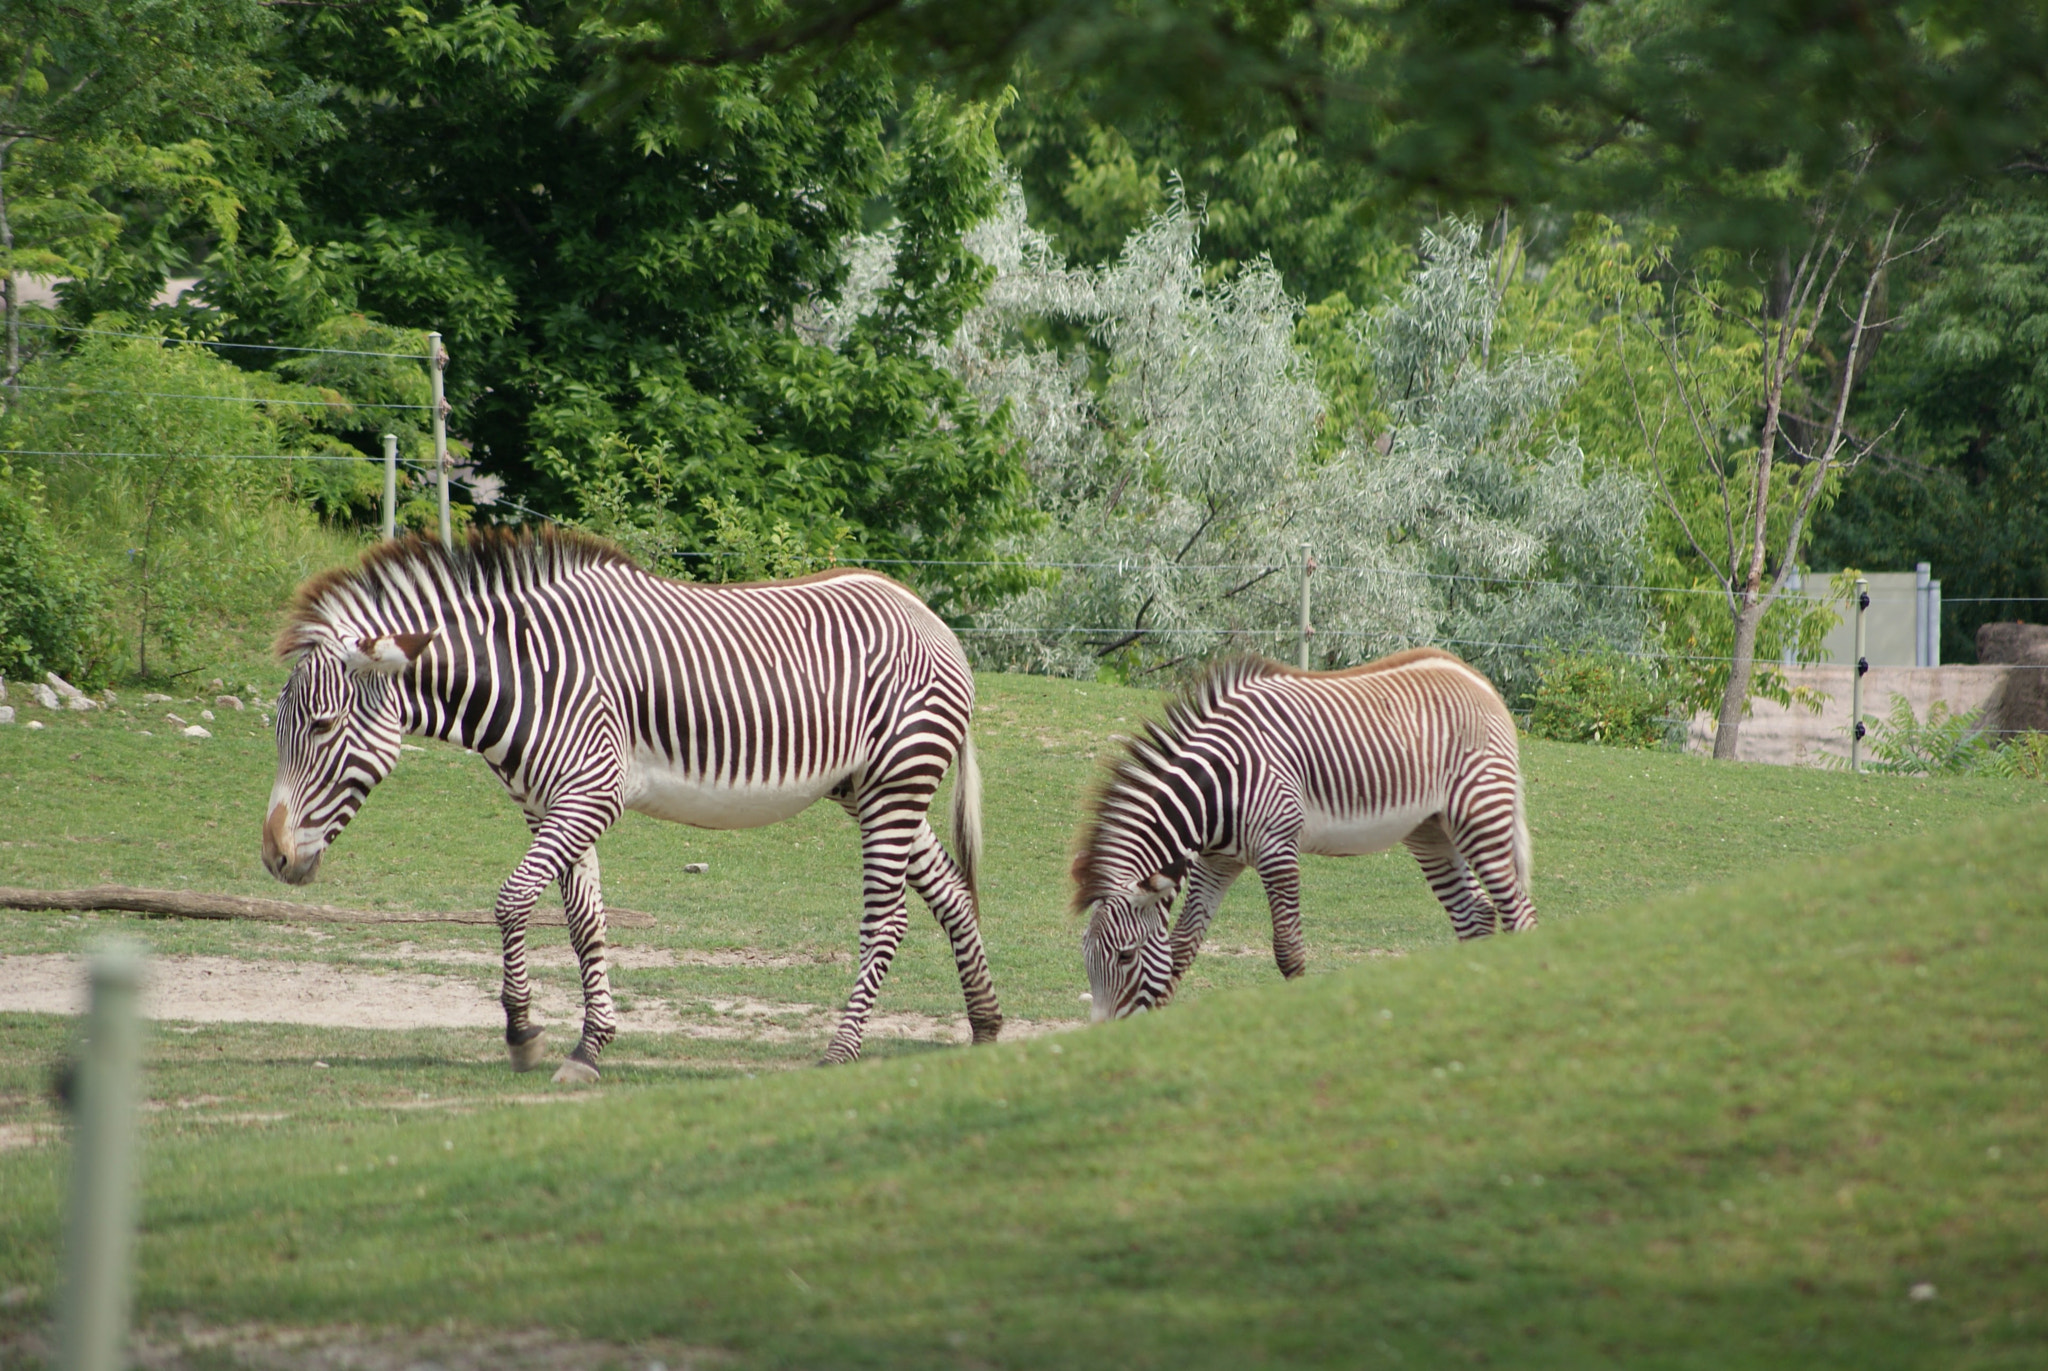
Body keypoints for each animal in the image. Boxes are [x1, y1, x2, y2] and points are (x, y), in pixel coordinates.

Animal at [261, 528, 1001, 1080]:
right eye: (278, 728)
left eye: (322, 725)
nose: (273, 856)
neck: (528, 675)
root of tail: (926, 612)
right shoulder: (549, 803)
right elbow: (585, 921)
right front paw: (589, 1047)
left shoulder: (593, 792)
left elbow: (511, 900)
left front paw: (522, 1032)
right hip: (868, 787)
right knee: (952, 892)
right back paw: (987, 1025)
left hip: (896, 782)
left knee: (888, 920)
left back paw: (842, 1051)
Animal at [1076, 648, 1533, 1021]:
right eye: (1085, 955)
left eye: (1125, 955)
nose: (1106, 1034)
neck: (1218, 788)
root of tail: (1472, 674)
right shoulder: (1217, 860)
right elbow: (1182, 945)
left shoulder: (1277, 848)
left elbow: (1287, 949)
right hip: (1431, 830)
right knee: (1477, 913)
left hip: (1480, 812)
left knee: (1518, 910)